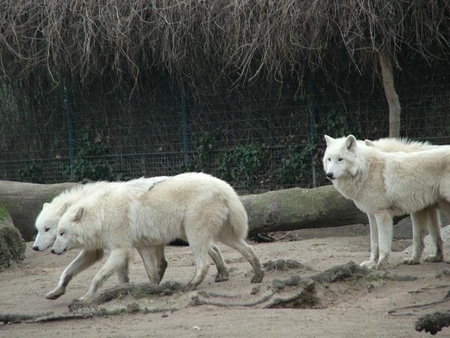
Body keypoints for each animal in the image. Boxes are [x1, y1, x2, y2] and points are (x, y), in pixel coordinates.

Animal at [33, 177, 169, 298]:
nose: (35, 247)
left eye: (47, 229)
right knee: (162, 263)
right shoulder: (96, 249)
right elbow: (67, 271)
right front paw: (56, 292)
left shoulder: (113, 247)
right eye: (38, 229)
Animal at [51, 172, 266, 302]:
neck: (101, 214)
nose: (53, 250)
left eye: (61, 233)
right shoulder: (142, 246)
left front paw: (85, 298)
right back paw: (257, 275)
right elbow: (152, 272)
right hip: (223, 235)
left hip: (193, 234)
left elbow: (98, 277)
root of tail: (224, 187)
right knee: (249, 249)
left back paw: (191, 284)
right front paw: (151, 289)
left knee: (203, 263)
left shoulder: (120, 250)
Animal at [326, 135, 450, 270]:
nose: (329, 174)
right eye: (329, 159)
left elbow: (384, 243)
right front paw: (372, 263)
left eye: (340, 159)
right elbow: (375, 243)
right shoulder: (372, 214)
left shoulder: (382, 213)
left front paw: (380, 264)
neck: (366, 170)